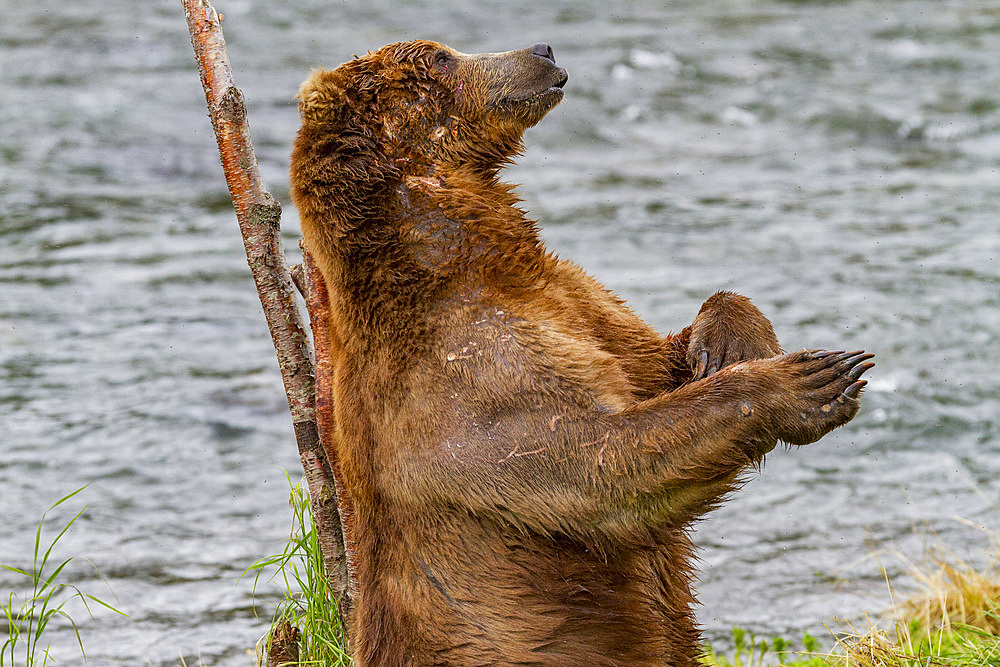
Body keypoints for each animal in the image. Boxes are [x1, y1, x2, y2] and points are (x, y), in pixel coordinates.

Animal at [288, 41, 868, 667]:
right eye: (442, 58)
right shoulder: (468, 373)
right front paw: (810, 383)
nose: (542, 49)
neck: (461, 258)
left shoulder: (578, 307)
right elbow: (592, 465)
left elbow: (655, 360)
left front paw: (726, 344)